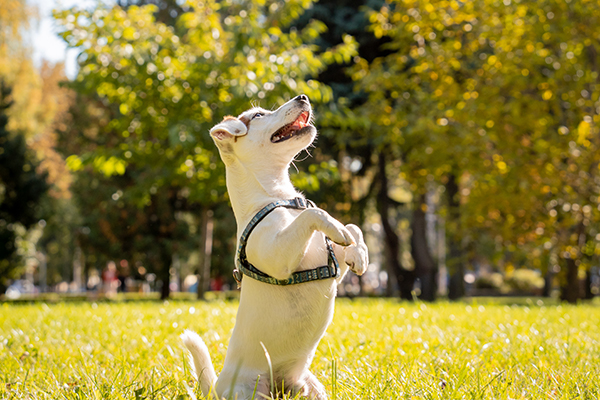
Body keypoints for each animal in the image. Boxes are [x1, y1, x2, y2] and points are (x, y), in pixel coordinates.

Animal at [182, 95, 370, 398]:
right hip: (249, 391)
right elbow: (315, 214)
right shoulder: (279, 257)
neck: (280, 198)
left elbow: (353, 228)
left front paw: (359, 253)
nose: (303, 97)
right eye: (258, 115)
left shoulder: (334, 267)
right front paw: (335, 226)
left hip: (310, 386)